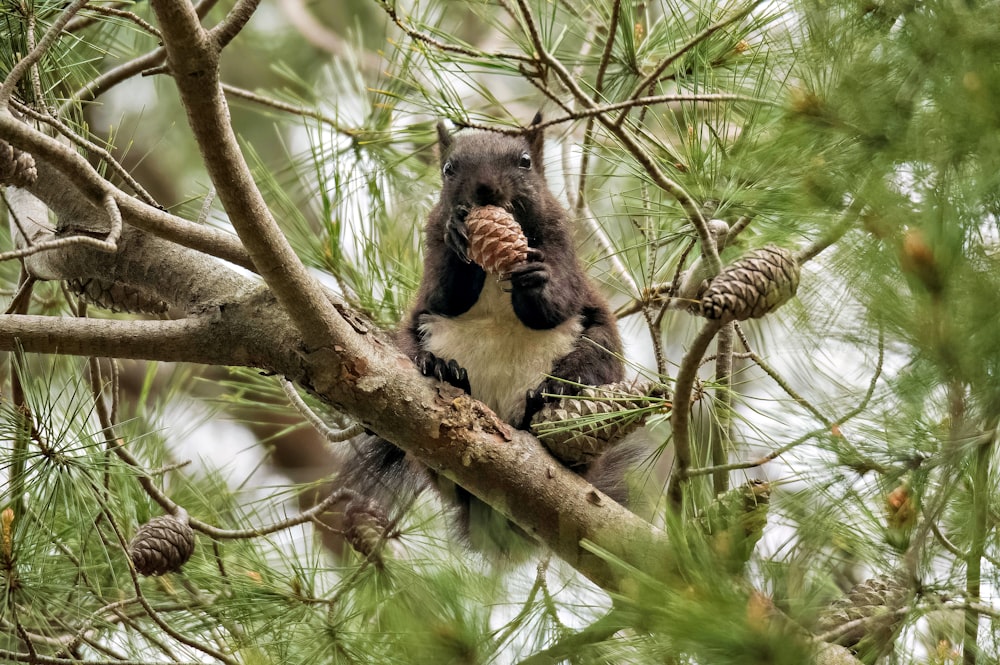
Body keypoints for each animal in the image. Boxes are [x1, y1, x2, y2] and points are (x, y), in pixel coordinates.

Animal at [336, 116, 632, 556]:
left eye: (525, 161)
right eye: (448, 168)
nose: (485, 190)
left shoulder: (562, 246)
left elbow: (558, 302)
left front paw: (536, 280)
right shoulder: (431, 260)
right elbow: (445, 293)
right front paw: (459, 234)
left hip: (600, 343)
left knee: (595, 361)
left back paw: (556, 391)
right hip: (408, 342)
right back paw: (442, 370)